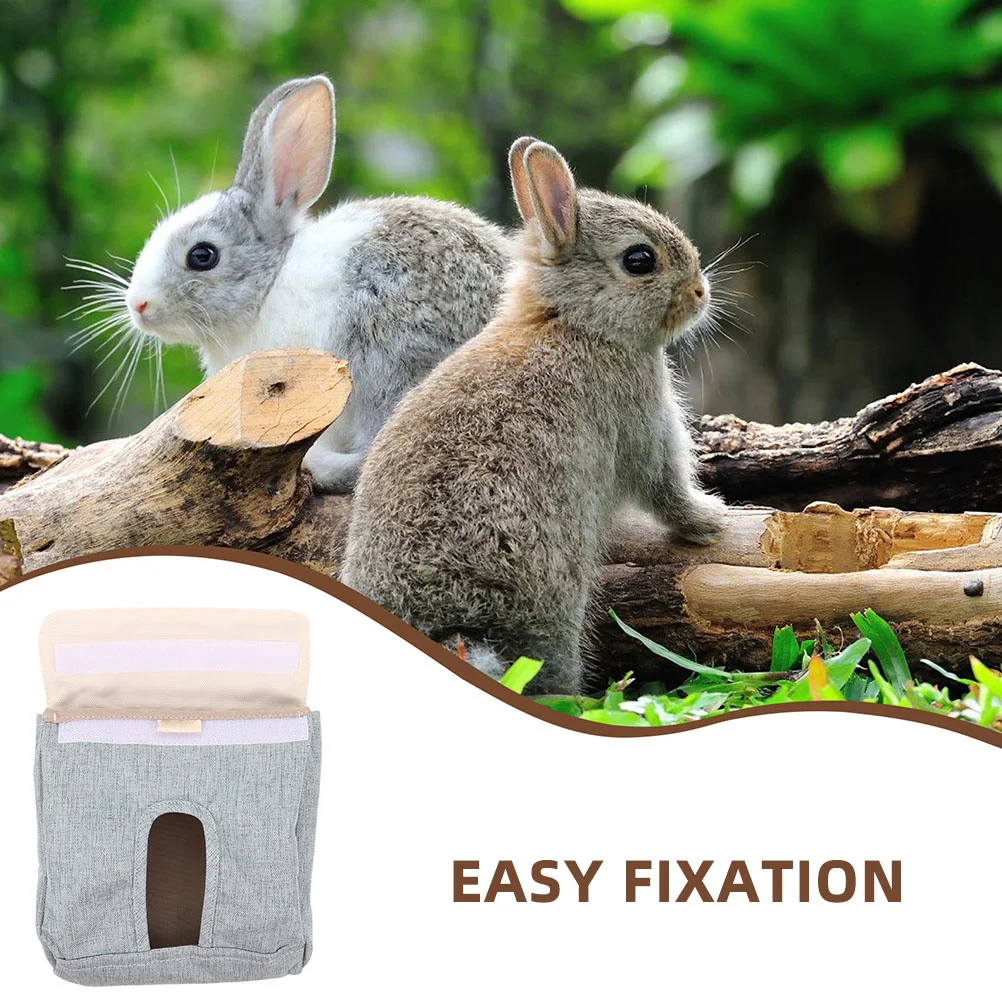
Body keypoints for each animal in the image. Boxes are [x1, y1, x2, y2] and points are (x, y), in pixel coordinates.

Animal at [341, 136, 727, 695]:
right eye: (640, 260)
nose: (700, 292)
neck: (574, 322)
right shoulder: (642, 421)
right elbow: (665, 489)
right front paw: (711, 521)